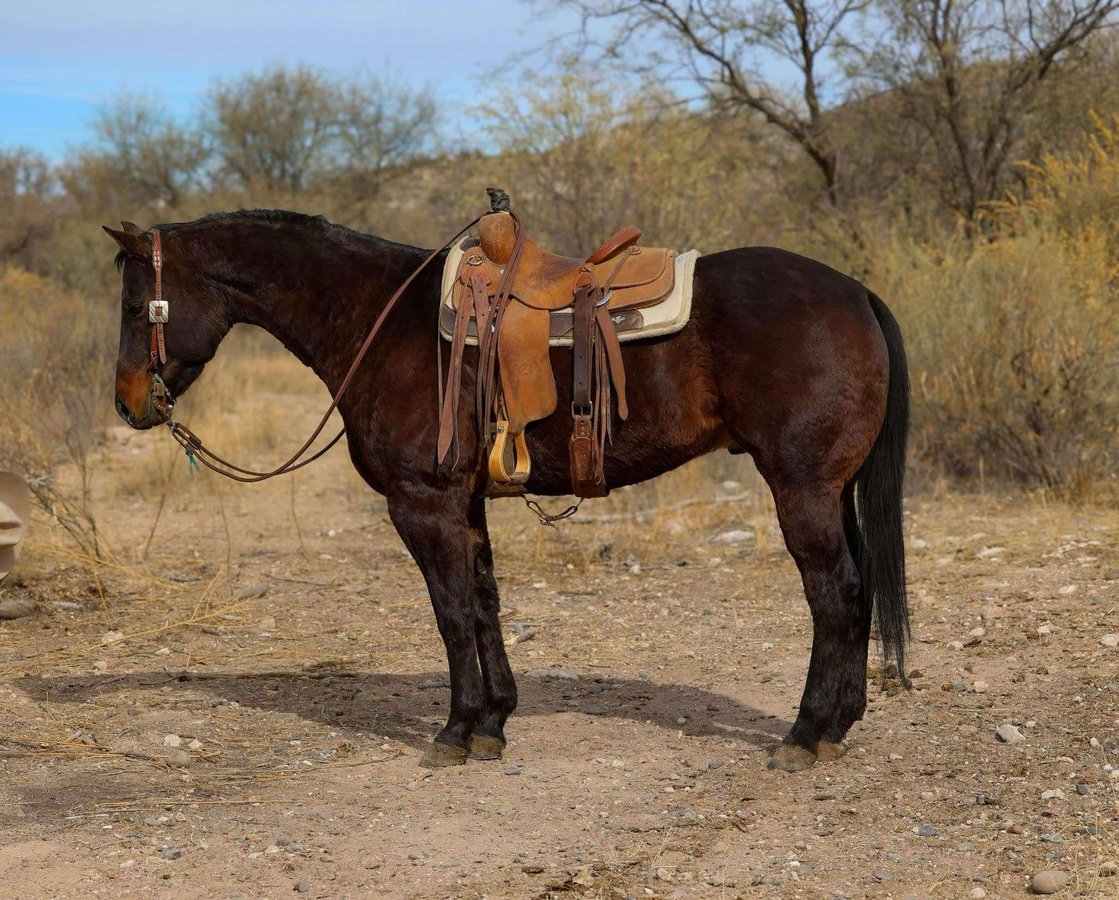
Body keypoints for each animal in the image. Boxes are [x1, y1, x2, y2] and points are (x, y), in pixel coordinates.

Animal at [103, 207, 910, 772]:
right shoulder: (463, 505)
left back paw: (804, 734)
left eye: (136, 304)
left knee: (834, 595)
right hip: (832, 490)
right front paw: (492, 722)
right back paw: (839, 724)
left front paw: (456, 731)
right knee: (860, 590)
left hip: (802, 490)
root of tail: (857, 291)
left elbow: (451, 615)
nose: (129, 402)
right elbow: (485, 605)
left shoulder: (421, 504)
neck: (377, 320)